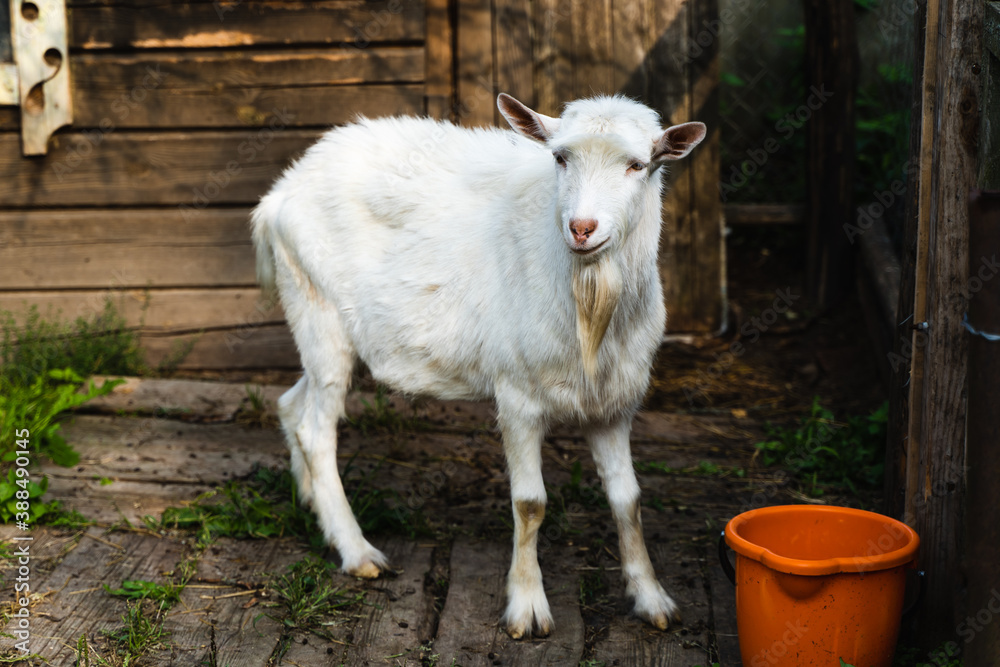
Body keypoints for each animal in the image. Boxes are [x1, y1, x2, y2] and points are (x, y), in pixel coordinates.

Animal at [250, 93, 706, 638]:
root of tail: (279, 193)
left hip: (324, 328)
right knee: (316, 430)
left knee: (291, 405)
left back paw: (312, 505)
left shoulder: (614, 405)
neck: (589, 308)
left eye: (639, 164)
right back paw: (357, 550)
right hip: (316, 308)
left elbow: (628, 501)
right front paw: (527, 608)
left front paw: (652, 599)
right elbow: (530, 503)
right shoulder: (518, 396)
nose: (581, 228)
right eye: (560, 158)